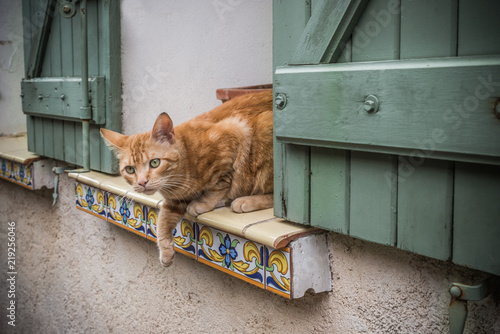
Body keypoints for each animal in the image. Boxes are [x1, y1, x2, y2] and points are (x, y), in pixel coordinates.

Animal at [101, 90, 274, 266]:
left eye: (155, 162)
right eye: (130, 169)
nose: (142, 182)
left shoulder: (234, 134)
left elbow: (219, 184)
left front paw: (204, 202)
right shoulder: (173, 201)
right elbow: (163, 221)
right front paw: (165, 250)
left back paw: (246, 201)